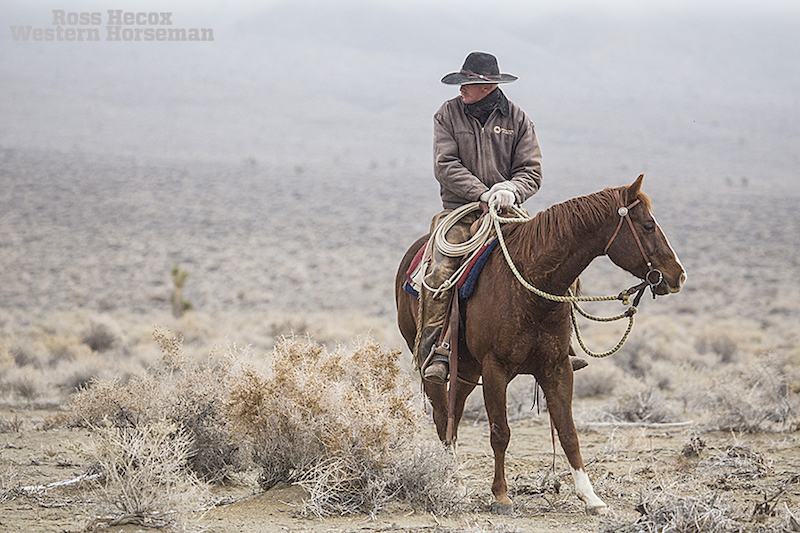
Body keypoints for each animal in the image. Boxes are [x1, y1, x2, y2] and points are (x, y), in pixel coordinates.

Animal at [394, 175, 686, 514]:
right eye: (648, 225)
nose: (679, 276)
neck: (532, 289)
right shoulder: (495, 369)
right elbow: (500, 432)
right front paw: (501, 495)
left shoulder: (557, 367)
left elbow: (568, 432)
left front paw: (590, 497)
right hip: (438, 365)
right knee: (443, 418)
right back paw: (453, 481)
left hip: (467, 368)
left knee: (454, 416)